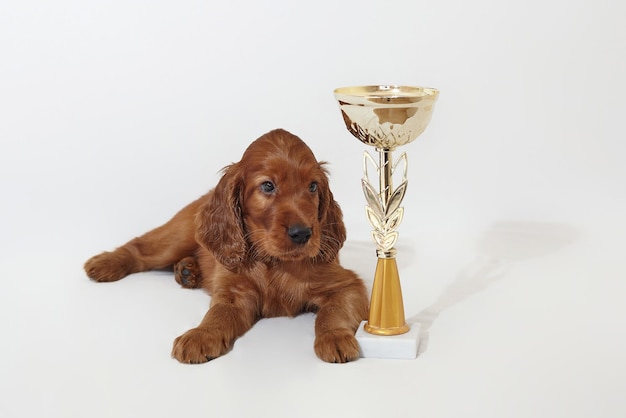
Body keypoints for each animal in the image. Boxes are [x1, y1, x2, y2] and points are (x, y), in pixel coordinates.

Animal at [83, 129, 366, 364]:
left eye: (313, 186)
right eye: (268, 186)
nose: (303, 233)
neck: (273, 262)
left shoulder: (347, 284)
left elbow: (333, 312)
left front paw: (335, 337)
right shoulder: (233, 293)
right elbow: (217, 314)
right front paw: (200, 335)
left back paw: (187, 271)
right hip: (177, 237)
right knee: (140, 247)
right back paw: (105, 263)